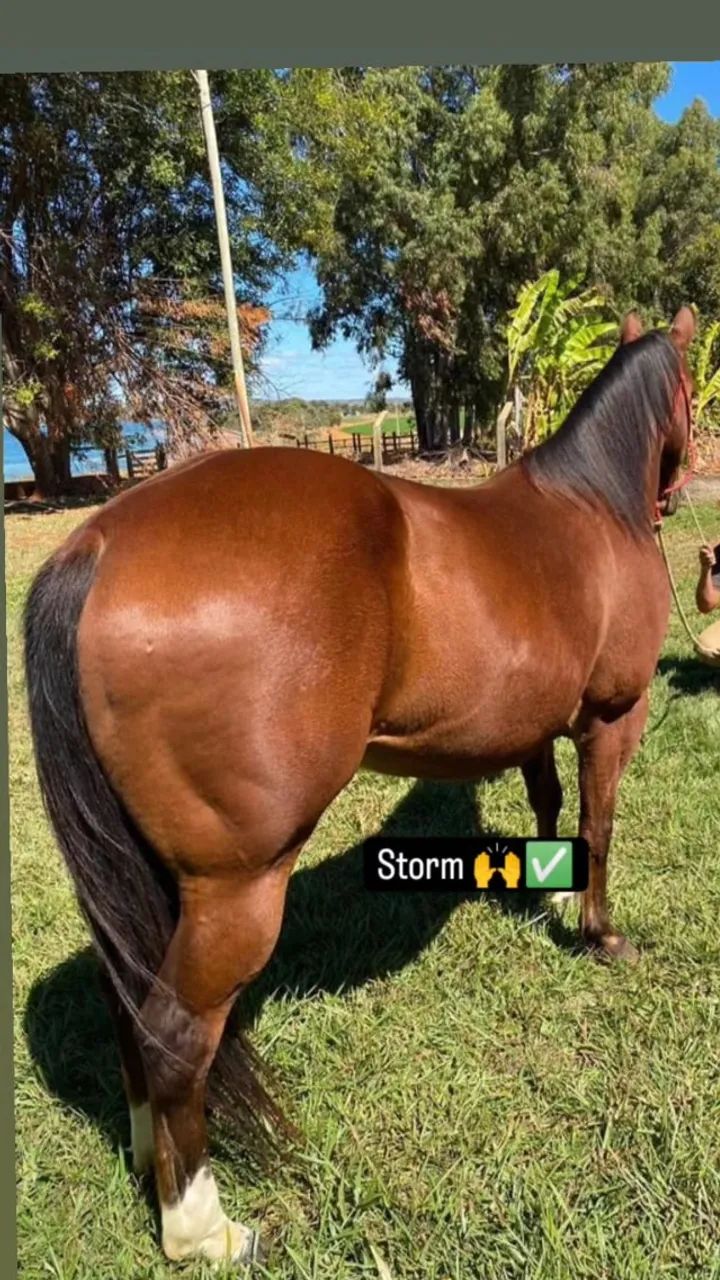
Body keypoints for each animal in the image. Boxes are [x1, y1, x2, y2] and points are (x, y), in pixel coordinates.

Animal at [24, 306, 695, 1266]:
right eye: (690, 390)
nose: (683, 481)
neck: (592, 510)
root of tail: (98, 542)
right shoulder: (613, 718)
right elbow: (599, 825)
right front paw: (600, 933)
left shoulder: (535, 730)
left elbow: (551, 810)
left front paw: (555, 899)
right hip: (236, 888)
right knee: (177, 1036)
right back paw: (202, 1228)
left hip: (149, 876)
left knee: (131, 1008)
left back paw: (154, 1163)